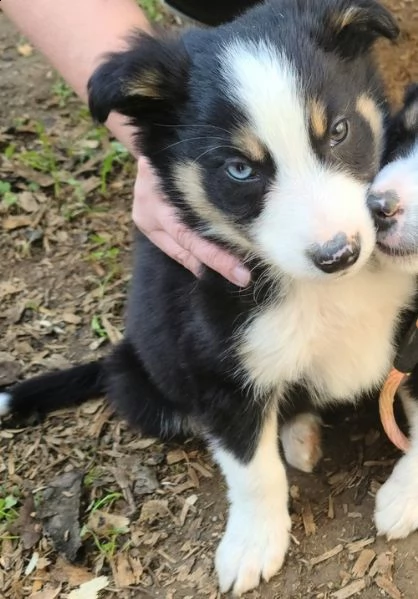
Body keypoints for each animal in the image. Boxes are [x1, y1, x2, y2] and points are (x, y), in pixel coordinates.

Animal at [0, 1, 412, 596]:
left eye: (339, 130)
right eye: (239, 169)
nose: (339, 253)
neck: (323, 291)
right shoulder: (217, 371)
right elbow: (253, 469)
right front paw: (253, 545)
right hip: (145, 385)